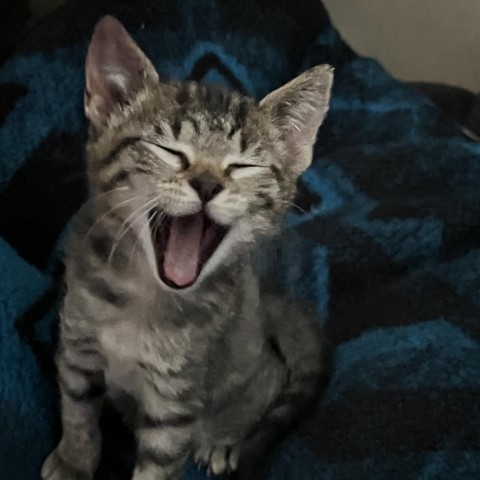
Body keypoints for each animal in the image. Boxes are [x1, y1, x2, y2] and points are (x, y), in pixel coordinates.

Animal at [41, 15, 334, 480]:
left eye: (242, 166)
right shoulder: (76, 350)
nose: (208, 183)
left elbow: (158, 466)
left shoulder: (175, 401)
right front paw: (74, 461)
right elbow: (77, 414)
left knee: (269, 381)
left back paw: (225, 438)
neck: (142, 300)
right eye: (169, 151)